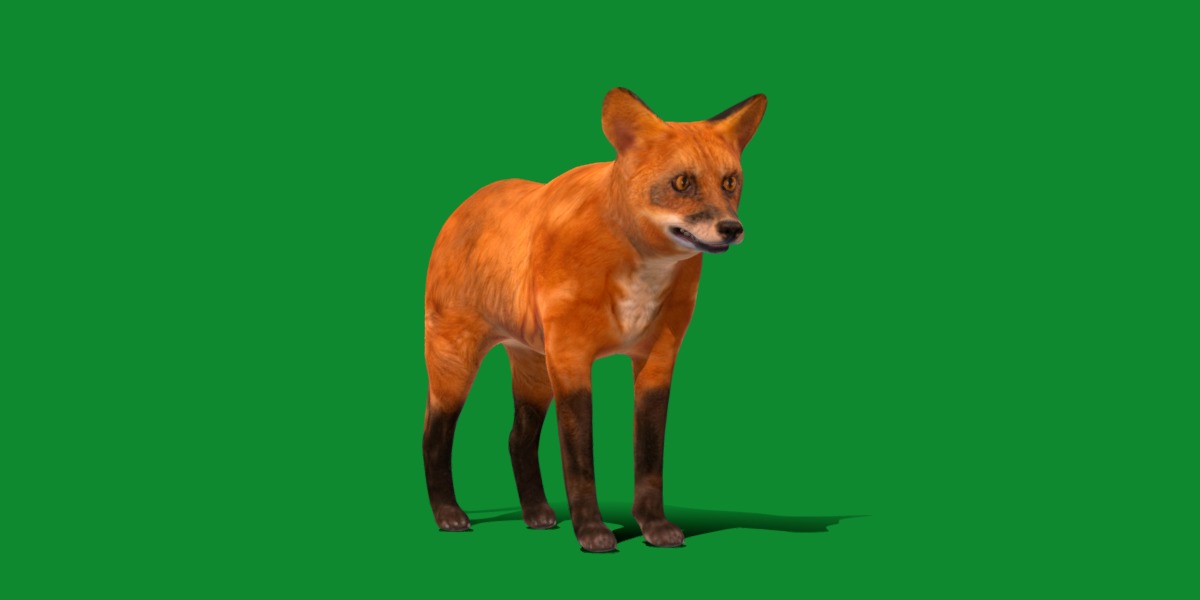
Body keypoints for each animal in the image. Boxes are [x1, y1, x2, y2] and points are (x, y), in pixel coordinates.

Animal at [423, 88, 767, 552]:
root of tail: (468, 202)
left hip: (533, 372)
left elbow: (649, 460)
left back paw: (536, 513)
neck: (639, 269)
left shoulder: (658, 359)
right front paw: (591, 531)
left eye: (730, 182)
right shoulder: (571, 359)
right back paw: (448, 514)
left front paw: (653, 526)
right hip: (455, 366)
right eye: (682, 182)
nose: (732, 228)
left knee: (517, 440)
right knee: (433, 437)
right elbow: (579, 461)